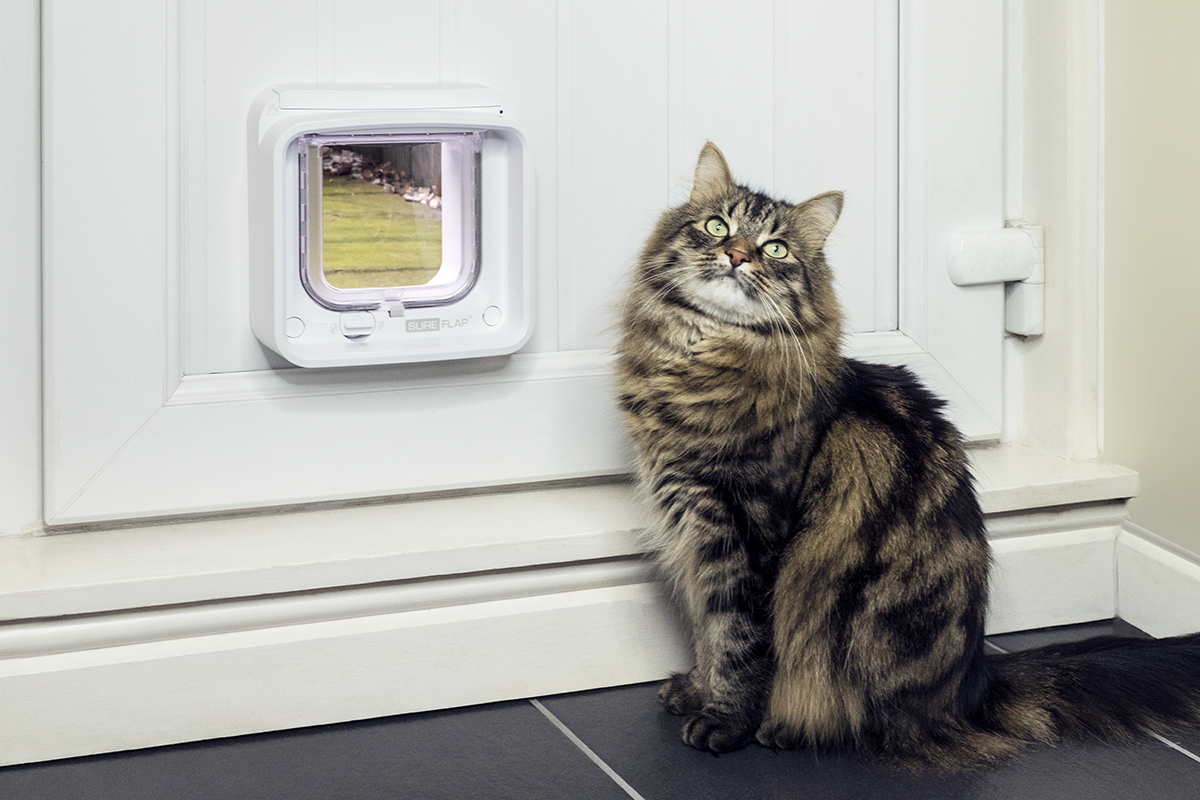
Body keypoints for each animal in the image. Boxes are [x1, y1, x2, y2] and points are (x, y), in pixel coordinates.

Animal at [614, 142, 1200, 767]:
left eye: (775, 248)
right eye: (717, 226)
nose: (737, 255)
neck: (697, 359)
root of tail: (974, 686)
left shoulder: (746, 530)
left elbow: (737, 639)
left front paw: (726, 722)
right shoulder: (692, 530)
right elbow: (707, 628)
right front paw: (696, 689)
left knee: (858, 718)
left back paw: (786, 728)